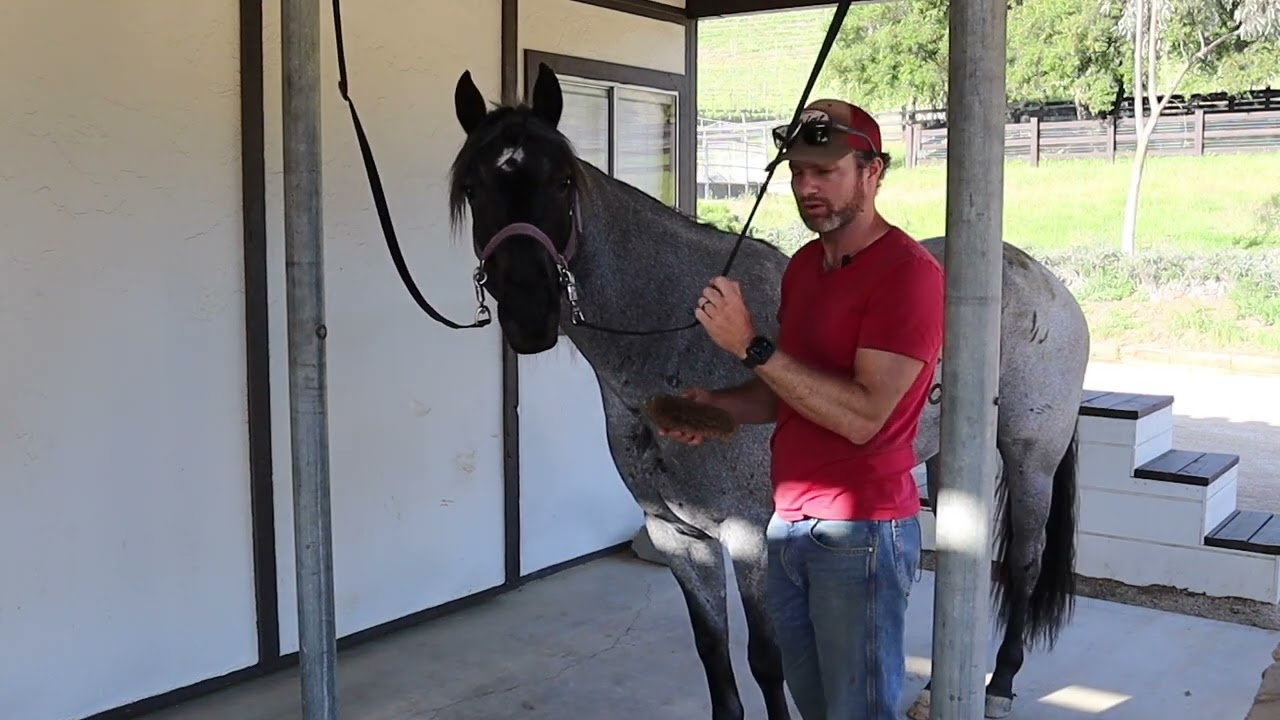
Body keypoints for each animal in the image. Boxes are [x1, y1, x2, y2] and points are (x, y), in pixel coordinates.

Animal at [445, 62, 1090, 719]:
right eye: (472, 187)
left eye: (562, 182)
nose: (529, 311)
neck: (675, 342)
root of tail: (1048, 282)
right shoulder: (679, 538)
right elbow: (714, 652)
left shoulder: (751, 536)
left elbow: (766, 658)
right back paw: (939, 687)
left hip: (1031, 457)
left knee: (1024, 560)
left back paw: (999, 685)